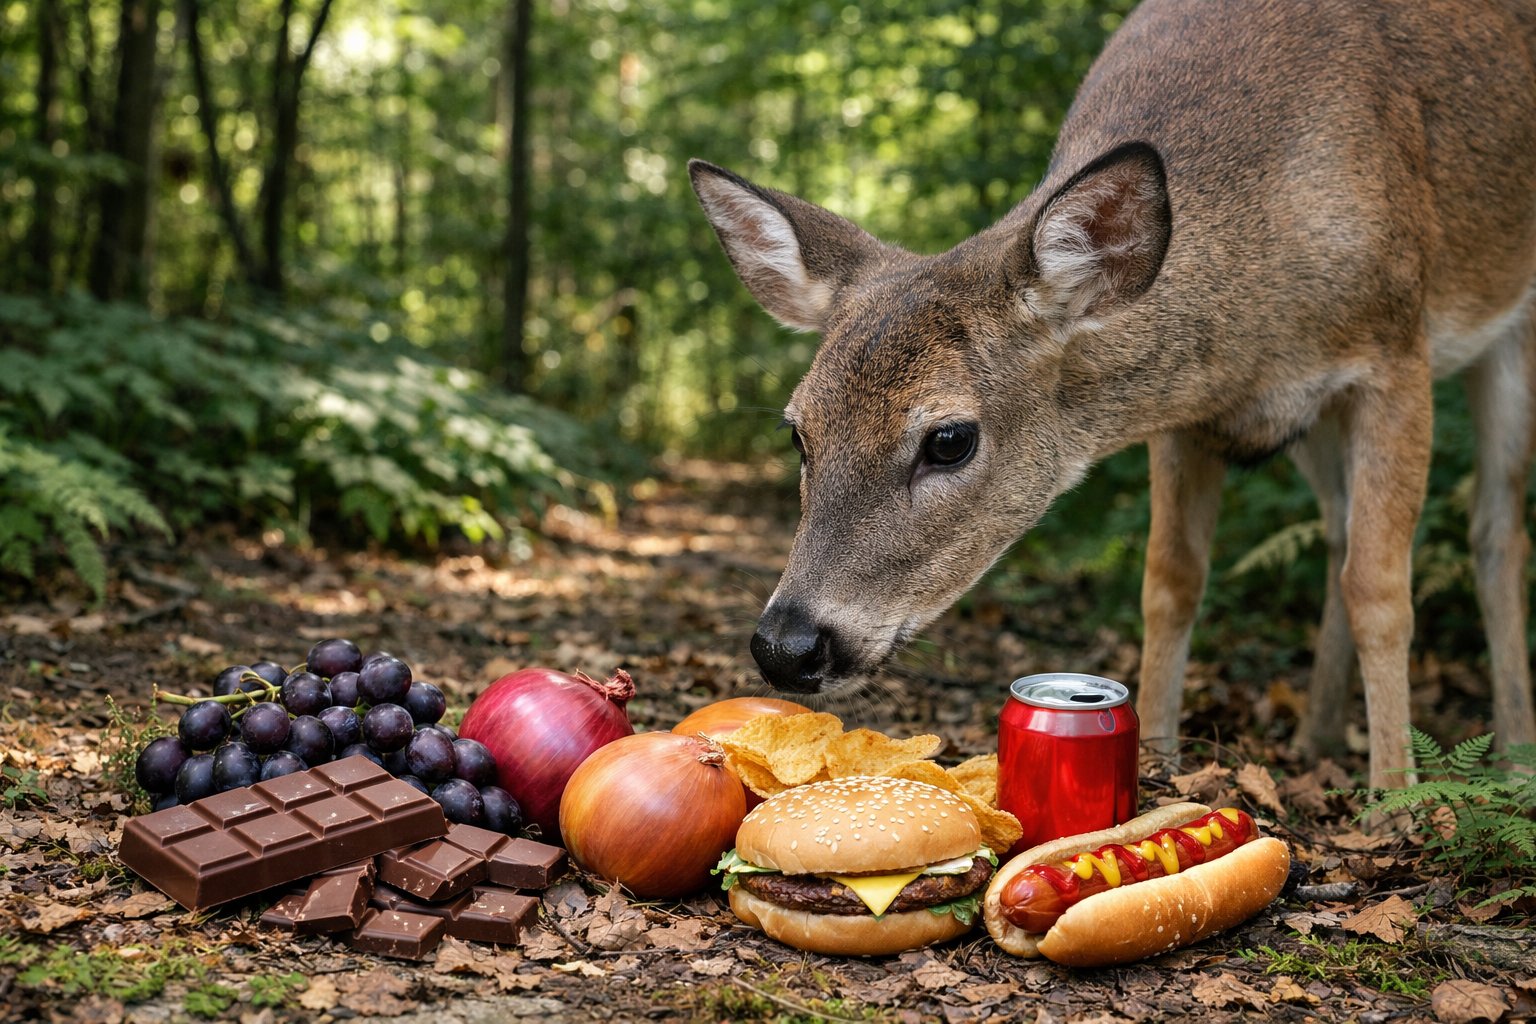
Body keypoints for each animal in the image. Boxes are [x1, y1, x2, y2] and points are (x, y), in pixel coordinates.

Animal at [688, 0, 1536, 793]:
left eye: (950, 439)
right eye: (798, 432)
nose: (786, 647)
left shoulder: (1395, 353)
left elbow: (1383, 587)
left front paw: (1397, 797)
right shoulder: (1192, 411)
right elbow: (1170, 580)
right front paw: (1159, 759)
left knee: (1494, 530)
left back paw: (1513, 756)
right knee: (1336, 533)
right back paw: (1316, 735)